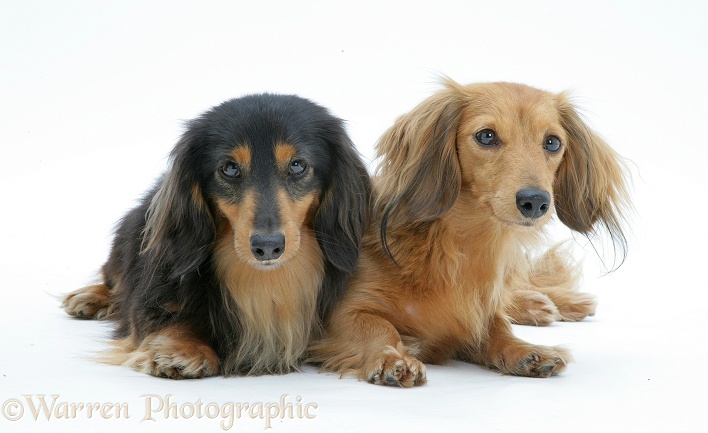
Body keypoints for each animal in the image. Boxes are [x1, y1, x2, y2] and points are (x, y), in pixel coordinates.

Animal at [62, 93, 370, 378]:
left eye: (297, 165)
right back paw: (91, 297)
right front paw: (182, 348)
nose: (267, 247)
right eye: (230, 168)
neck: (266, 281)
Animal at [306, 79, 628, 386]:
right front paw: (393, 357)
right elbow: (379, 329)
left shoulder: (478, 315)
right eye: (486, 136)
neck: (460, 247)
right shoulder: (342, 315)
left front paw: (525, 350)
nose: (536, 202)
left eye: (552, 142)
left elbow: (499, 329)